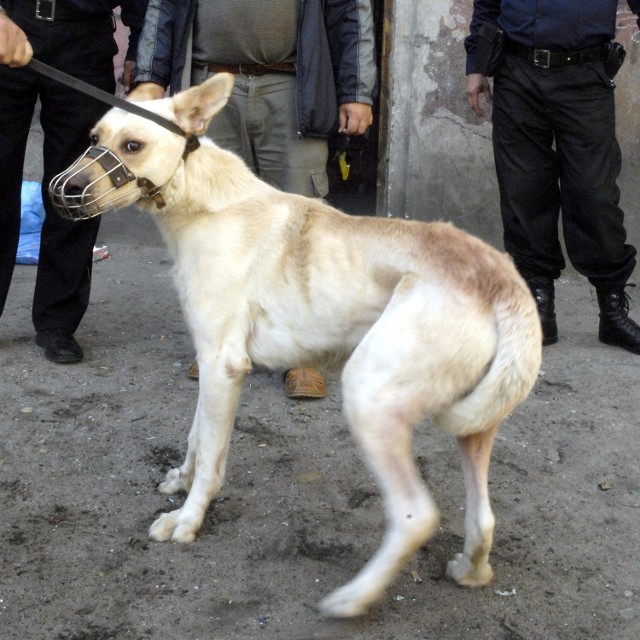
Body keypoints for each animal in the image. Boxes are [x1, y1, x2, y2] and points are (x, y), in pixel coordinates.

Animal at [48, 75, 540, 620]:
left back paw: (353, 597)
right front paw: (180, 478)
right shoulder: (208, 360)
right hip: (475, 425)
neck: (198, 196)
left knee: (415, 515)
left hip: (369, 398)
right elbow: (197, 437)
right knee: (484, 517)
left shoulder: (224, 364)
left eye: (133, 145)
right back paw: (470, 570)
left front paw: (188, 519)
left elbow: (212, 459)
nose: (63, 190)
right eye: (95, 136)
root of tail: (501, 276)